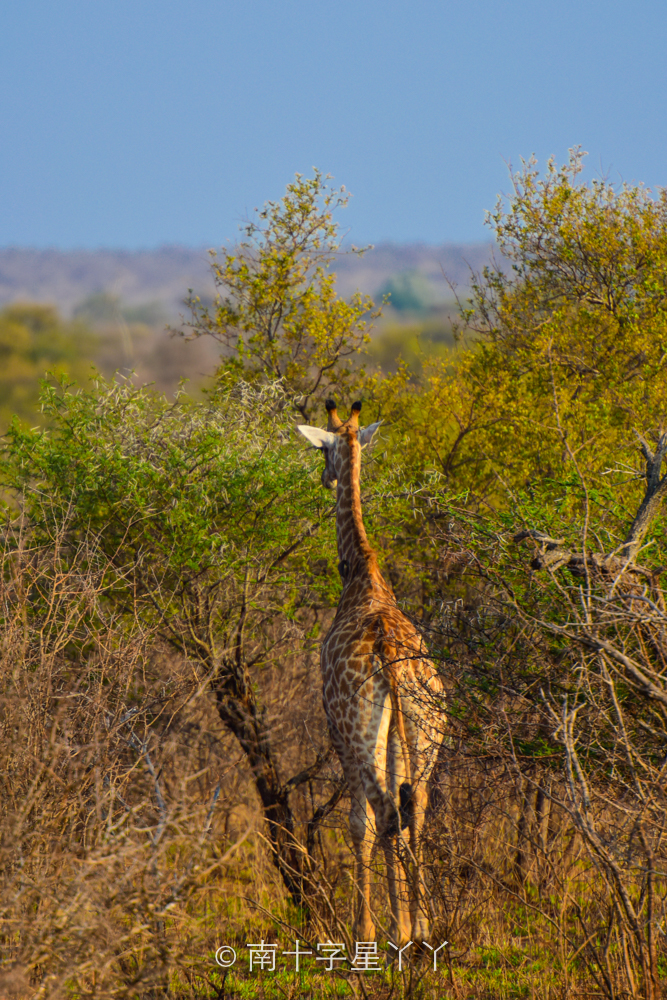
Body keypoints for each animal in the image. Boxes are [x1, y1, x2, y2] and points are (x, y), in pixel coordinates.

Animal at [298, 396, 444, 944]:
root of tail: (387, 654)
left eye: (324, 449)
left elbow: (355, 824)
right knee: (415, 804)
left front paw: (361, 928)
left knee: (382, 811)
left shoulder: (337, 733)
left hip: (362, 731)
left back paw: (394, 930)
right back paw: (421, 926)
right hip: (424, 730)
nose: (325, 477)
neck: (362, 575)